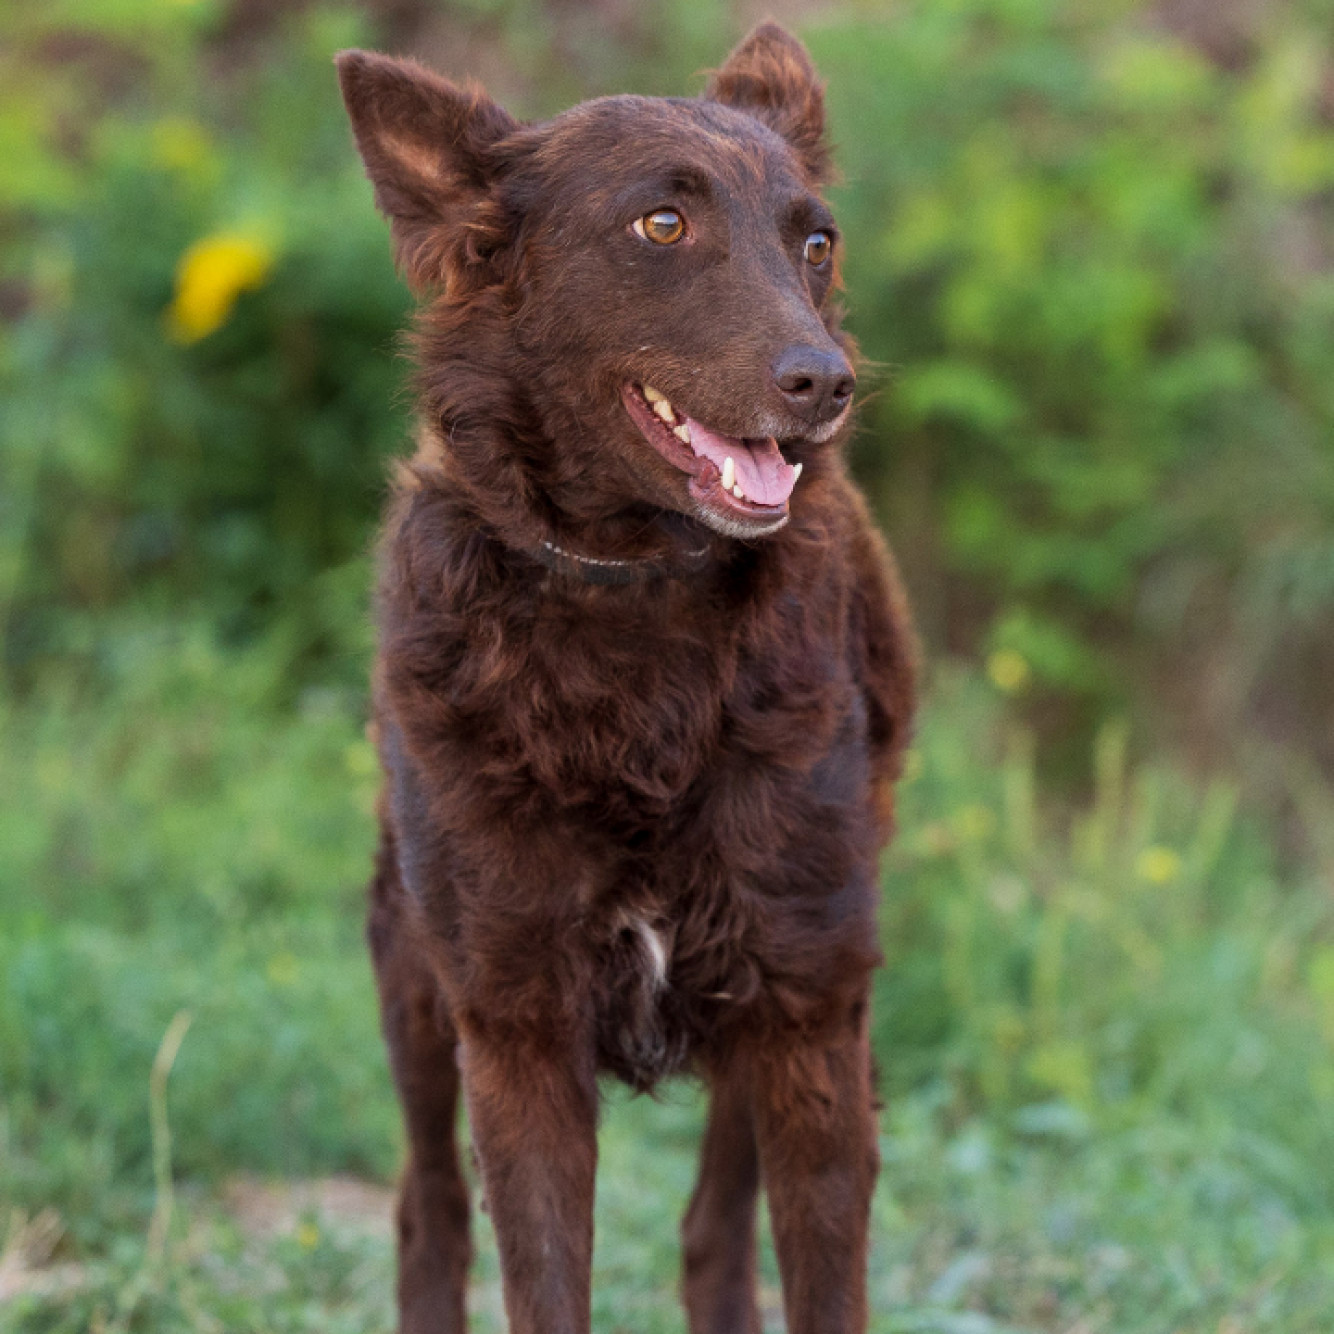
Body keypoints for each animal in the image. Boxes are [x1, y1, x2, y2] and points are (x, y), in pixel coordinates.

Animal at [336, 23, 917, 1334]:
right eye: (662, 224)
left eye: (815, 242)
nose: (826, 381)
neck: (630, 596)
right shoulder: (515, 1025)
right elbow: (538, 1277)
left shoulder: (809, 1007)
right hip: (410, 975)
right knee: (426, 1207)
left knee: (711, 1229)